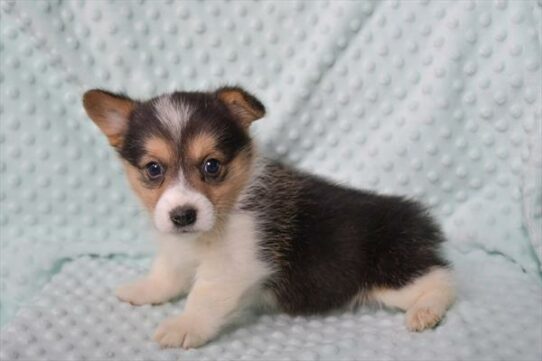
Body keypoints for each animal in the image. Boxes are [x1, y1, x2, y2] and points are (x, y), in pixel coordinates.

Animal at [83, 86, 456, 348]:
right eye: (153, 169)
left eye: (212, 166)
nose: (183, 216)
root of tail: (417, 219)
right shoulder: (178, 251)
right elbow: (166, 273)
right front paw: (144, 290)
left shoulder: (233, 266)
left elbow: (202, 297)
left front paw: (184, 326)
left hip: (392, 274)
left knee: (443, 281)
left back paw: (425, 313)